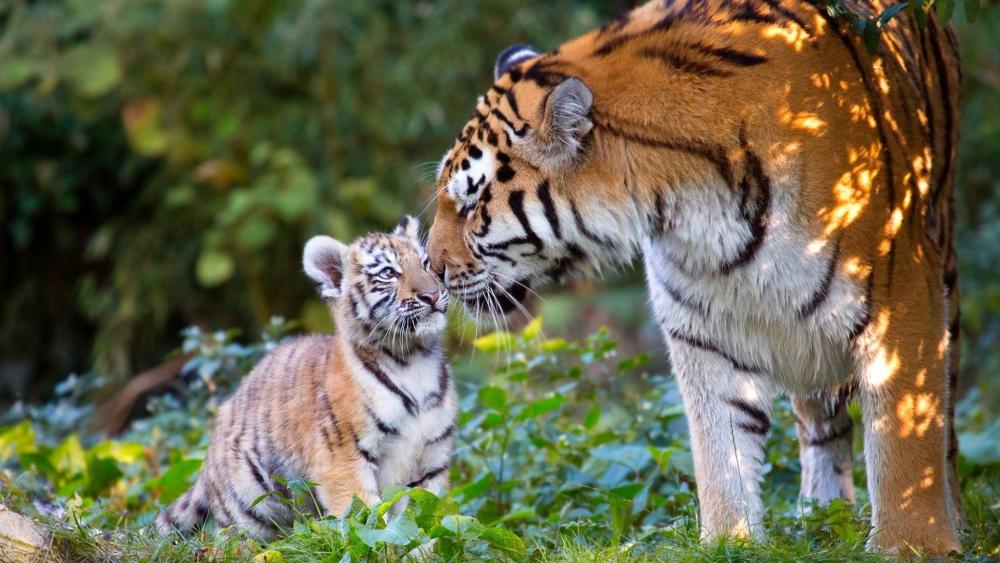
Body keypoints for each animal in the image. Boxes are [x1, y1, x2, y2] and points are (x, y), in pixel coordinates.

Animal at [156, 216, 456, 540]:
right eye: (388, 273)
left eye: (426, 263)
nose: (432, 294)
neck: (413, 360)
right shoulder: (343, 459)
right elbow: (369, 522)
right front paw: (388, 545)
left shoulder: (432, 460)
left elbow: (428, 518)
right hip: (249, 507)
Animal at [425, 0, 962, 555]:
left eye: (469, 205)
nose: (430, 268)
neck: (693, 207)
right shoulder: (702, 330)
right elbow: (720, 449)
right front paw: (731, 541)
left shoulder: (901, 301)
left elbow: (904, 438)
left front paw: (913, 546)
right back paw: (822, 515)